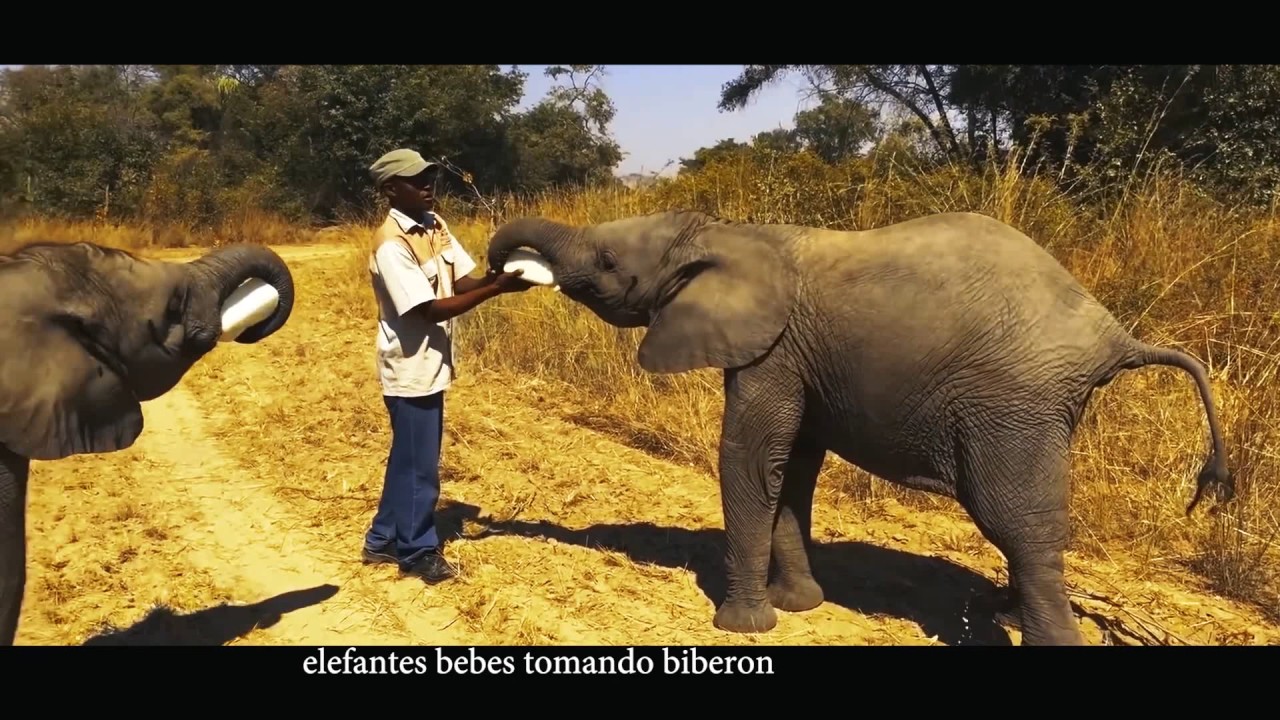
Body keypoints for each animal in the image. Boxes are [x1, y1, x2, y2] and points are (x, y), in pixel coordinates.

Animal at [484, 209, 1233, 646]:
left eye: (609, 264)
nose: (495, 268)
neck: (725, 232)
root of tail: (1113, 335)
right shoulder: (802, 358)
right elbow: (793, 471)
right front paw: (800, 605)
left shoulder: (773, 350)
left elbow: (753, 459)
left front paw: (744, 626)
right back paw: (1006, 618)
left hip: (1012, 403)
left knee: (1019, 523)